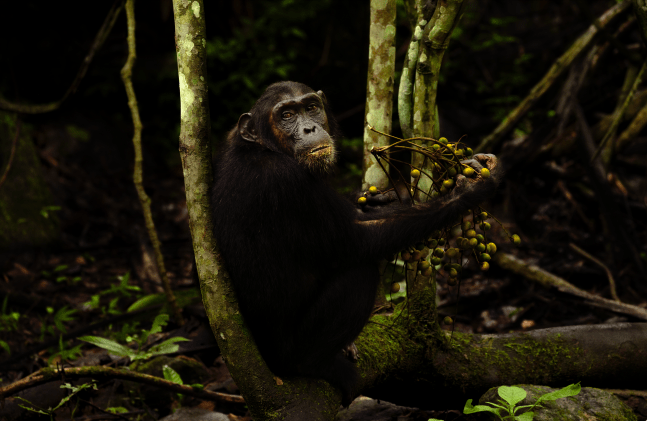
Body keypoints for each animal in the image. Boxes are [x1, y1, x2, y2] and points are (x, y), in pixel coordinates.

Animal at [213, 79, 502, 404]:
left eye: (310, 107)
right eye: (286, 115)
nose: (309, 128)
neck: (266, 148)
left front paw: (379, 197)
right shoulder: (285, 182)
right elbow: (354, 241)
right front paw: (471, 189)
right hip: (289, 353)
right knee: (359, 272)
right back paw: (320, 363)